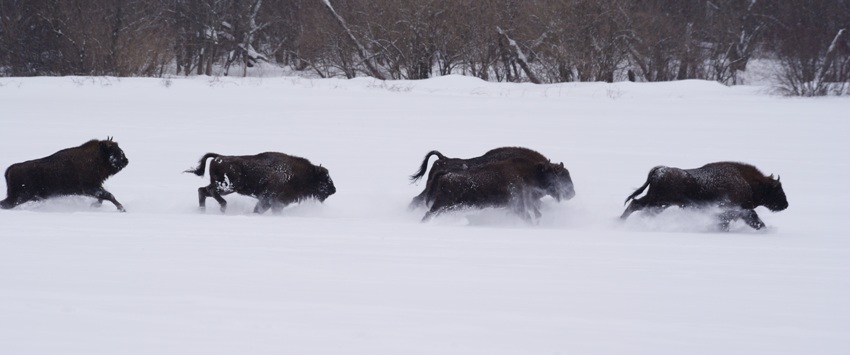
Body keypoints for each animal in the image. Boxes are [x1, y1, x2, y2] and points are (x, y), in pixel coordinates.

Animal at [0, 138, 129, 211]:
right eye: (115, 152)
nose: (126, 160)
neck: (97, 157)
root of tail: (11, 169)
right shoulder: (90, 188)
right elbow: (108, 195)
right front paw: (122, 209)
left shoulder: (90, 189)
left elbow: (102, 197)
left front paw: (94, 206)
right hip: (20, 197)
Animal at [185, 151, 334, 214]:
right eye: (324, 178)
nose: (333, 190)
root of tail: (219, 157)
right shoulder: (271, 200)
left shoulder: (269, 201)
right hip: (227, 187)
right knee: (210, 191)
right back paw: (223, 207)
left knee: (202, 190)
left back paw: (203, 211)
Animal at [420, 159, 572, 222]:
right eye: (552, 175)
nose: (568, 193)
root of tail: (444, 176)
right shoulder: (518, 206)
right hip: (441, 206)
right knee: (427, 215)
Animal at [616, 162, 788, 231]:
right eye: (777, 190)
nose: (786, 204)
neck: (748, 182)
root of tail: (659, 170)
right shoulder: (739, 210)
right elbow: (755, 220)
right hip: (658, 203)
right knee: (638, 207)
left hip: (656, 202)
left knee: (635, 204)